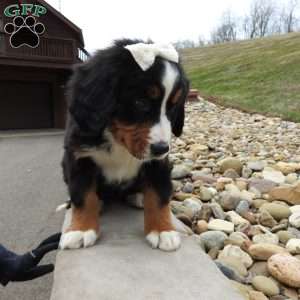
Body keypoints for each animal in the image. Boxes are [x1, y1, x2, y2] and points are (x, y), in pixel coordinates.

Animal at [59, 39, 189, 251]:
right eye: (140, 102)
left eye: (173, 107)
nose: (162, 148)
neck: (117, 140)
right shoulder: (79, 157)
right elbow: (82, 195)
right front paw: (81, 229)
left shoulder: (158, 164)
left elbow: (159, 194)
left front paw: (162, 230)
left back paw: (138, 196)